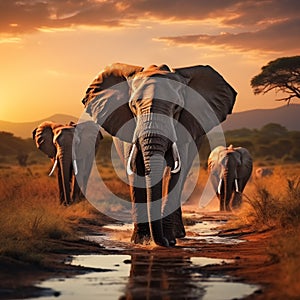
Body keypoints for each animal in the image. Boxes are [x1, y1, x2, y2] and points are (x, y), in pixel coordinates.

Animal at [81, 62, 237, 246]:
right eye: (133, 106)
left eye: (176, 107)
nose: (163, 241)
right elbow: (136, 170)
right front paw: (141, 241)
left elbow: (174, 173)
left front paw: (168, 239)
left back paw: (178, 234)